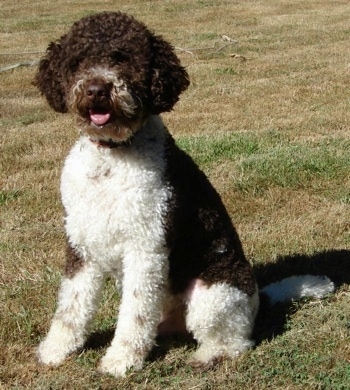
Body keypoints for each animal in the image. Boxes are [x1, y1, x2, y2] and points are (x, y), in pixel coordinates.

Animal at [34, 12, 334, 378]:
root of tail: (257, 296)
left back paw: (207, 356)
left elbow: (134, 313)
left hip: (212, 296)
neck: (111, 159)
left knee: (235, 342)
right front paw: (55, 350)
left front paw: (120, 360)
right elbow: (71, 305)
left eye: (124, 58)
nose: (97, 90)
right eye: (77, 62)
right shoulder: (81, 245)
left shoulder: (146, 246)